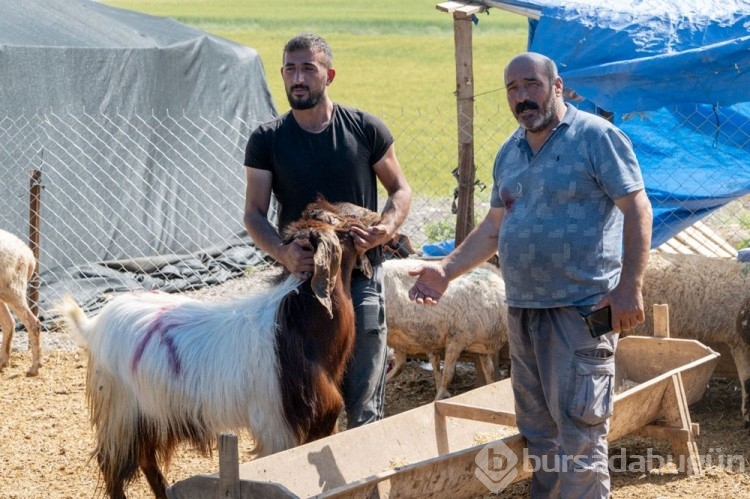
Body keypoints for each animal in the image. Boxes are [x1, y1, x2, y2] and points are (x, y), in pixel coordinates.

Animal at [57, 200, 382, 499]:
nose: (376, 217)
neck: (296, 327)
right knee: (112, 464)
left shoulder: (321, 419)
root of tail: (94, 325)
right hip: (121, 410)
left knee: (146, 458)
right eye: (340, 219)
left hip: (152, 411)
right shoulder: (276, 425)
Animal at [384, 260, 508, 400]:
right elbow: (448, 374)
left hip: (397, 338)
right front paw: (439, 397)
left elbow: (489, 371)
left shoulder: (482, 347)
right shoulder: (457, 338)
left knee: (399, 365)